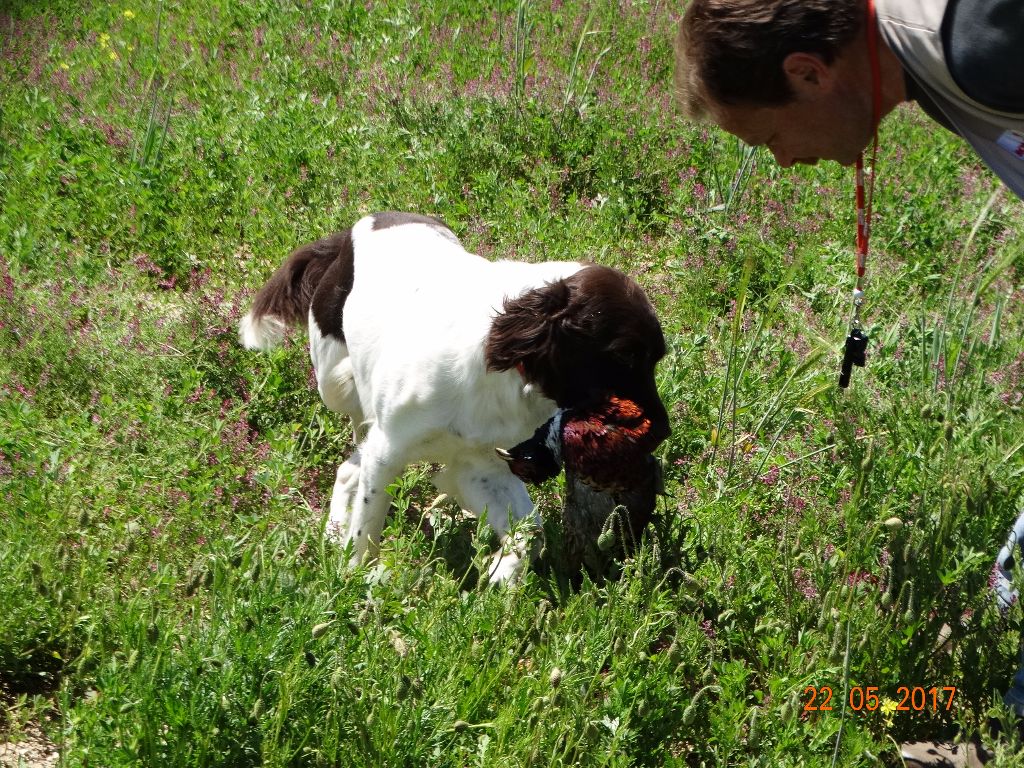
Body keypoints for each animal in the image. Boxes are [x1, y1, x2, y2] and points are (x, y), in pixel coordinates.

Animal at [239, 210, 671, 581]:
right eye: (625, 356)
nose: (663, 432)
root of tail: (356, 228)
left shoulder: (479, 463)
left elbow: (530, 532)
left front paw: (501, 577)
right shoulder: (389, 448)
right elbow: (368, 527)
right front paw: (356, 580)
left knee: (349, 467)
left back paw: (332, 531)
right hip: (336, 383)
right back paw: (335, 532)